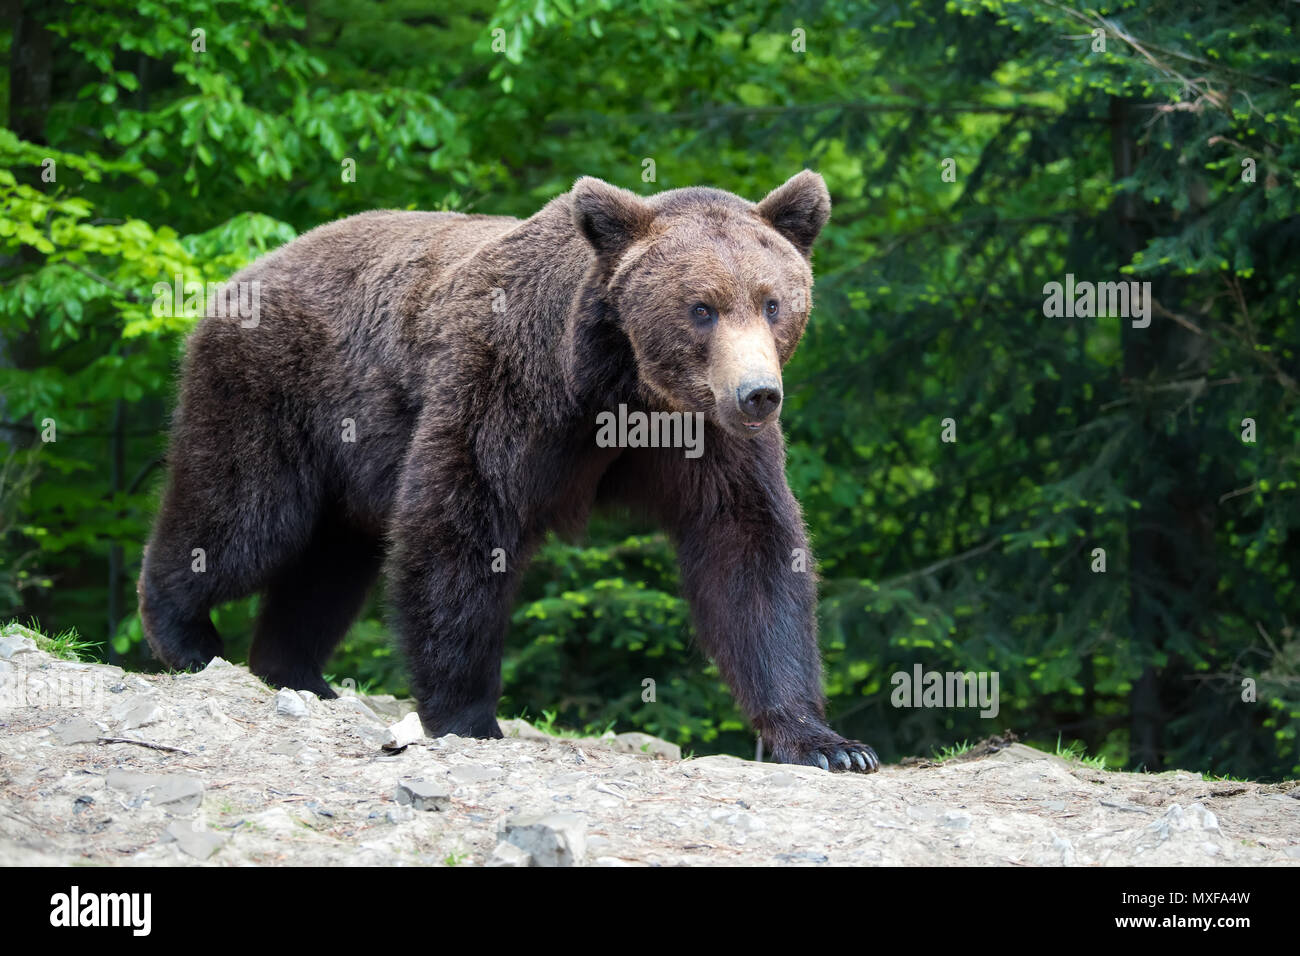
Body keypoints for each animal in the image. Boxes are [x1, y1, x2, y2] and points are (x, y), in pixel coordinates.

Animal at [134, 170, 883, 770]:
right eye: (701, 307)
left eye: (773, 302)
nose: (758, 394)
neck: (623, 387)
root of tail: (241, 275)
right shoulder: (510, 385)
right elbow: (461, 521)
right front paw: (468, 715)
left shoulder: (710, 441)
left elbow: (749, 552)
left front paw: (827, 743)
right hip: (279, 393)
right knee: (245, 518)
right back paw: (186, 633)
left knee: (328, 563)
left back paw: (297, 672)